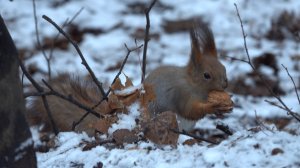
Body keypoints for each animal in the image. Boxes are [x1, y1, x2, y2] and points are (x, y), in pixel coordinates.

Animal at [27, 21, 231, 136]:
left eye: (224, 69)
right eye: (206, 75)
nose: (225, 84)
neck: (193, 84)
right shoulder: (182, 94)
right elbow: (190, 110)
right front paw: (213, 107)